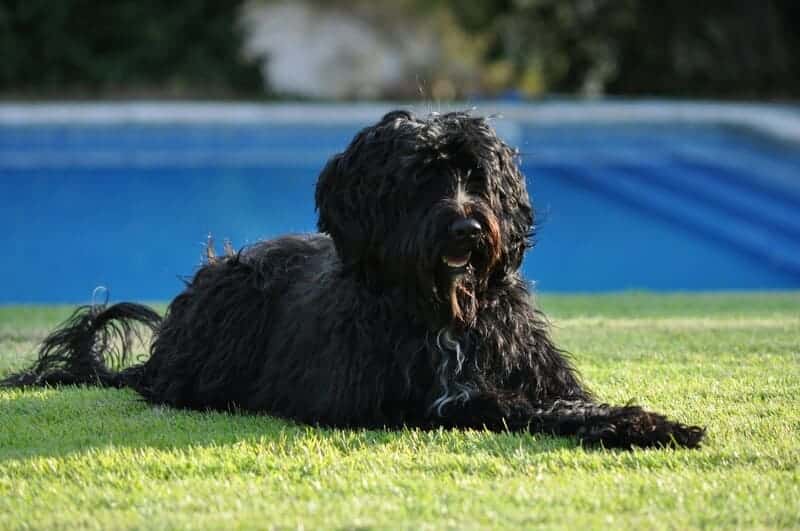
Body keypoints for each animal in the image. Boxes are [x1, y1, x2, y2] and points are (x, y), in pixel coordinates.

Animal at [0, 111, 704, 448]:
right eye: (420, 176)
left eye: (475, 175)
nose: (467, 230)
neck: (444, 310)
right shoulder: (415, 399)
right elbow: (508, 405)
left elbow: (570, 400)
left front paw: (644, 421)